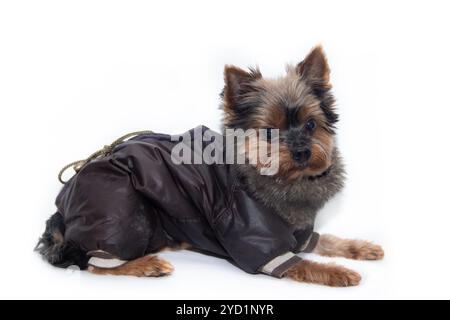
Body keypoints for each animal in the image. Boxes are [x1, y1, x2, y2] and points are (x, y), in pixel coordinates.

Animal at [37, 45, 384, 288]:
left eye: (311, 124)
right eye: (269, 132)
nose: (301, 151)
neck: (282, 179)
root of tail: (61, 210)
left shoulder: (299, 233)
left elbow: (328, 241)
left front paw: (360, 248)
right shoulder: (256, 241)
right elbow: (303, 264)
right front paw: (339, 272)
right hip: (122, 210)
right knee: (93, 264)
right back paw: (147, 265)